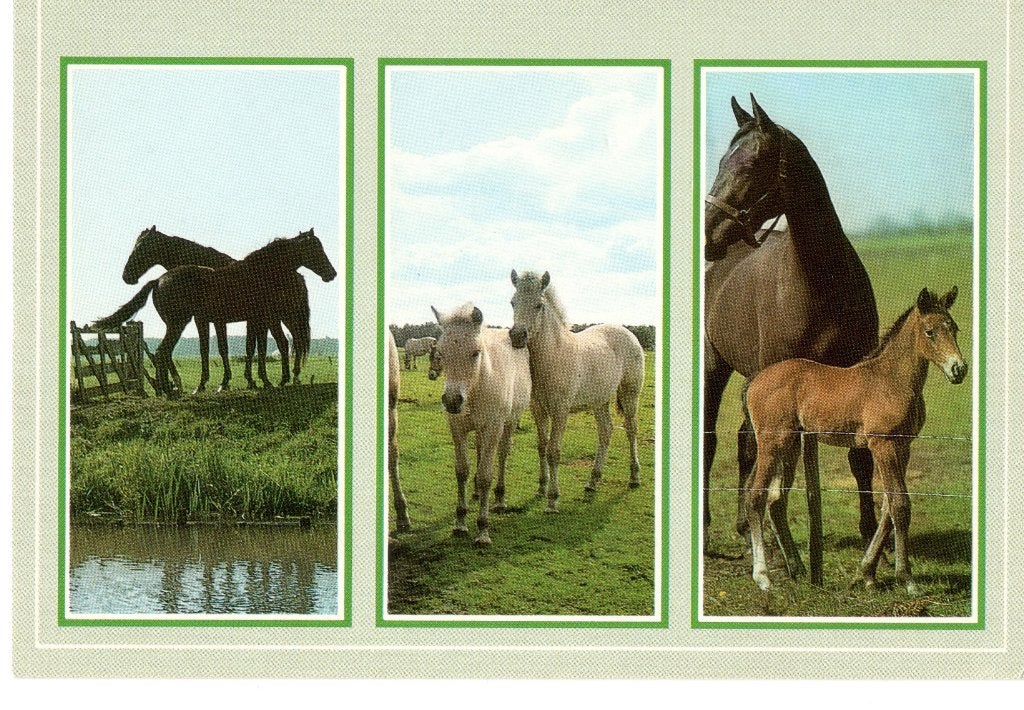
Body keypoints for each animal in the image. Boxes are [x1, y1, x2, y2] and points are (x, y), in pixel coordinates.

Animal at [92, 229, 336, 397]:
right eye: (316, 248)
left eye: (142, 246)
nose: (332, 274)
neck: (260, 272)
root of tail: (158, 280)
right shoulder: (244, 319)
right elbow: (229, 349)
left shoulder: (246, 319)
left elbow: (246, 348)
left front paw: (250, 381)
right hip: (179, 324)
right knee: (162, 352)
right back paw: (169, 390)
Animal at [431, 303, 532, 545]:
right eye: (440, 353)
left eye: (476, 353)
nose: (452, 401)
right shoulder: (457, 428)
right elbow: (462, 470)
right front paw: (460, 523)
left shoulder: (493, 428)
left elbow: (487, 474)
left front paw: (483, 531)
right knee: (478, 451)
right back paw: (476, 492)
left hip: (508, 423)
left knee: (502, 455)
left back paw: (499, 500)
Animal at [509, 270, 645, 512]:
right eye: (512, 302)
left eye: (539, 305)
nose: (517, 336)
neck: (555, 354)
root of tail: (628, 333)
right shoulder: (538, 409)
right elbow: (542, 446)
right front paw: (541, 488)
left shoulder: (560, 410)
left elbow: (554, 451)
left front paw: (552, 499)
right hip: (600, 401)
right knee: (606, 431)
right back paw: (592, 481)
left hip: (630, 394)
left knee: (631, 429)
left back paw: (634, 477)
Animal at [703, 95, 880, 551]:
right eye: (721, 162)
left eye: (750, 164)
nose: (708, 233)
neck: (821, 282)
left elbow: (859, 457)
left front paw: (871, 532)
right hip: (716, 368)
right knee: (714, 442)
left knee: (746, 444)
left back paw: (745, 524)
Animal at [744, 287, 967, 594]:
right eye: (930, 331)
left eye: (954, 328)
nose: (959, 370)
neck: (891, 380)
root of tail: (754, 381)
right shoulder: (882, 445)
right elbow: (900, 505)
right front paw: (906, 579)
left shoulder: (903, 446)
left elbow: (887, 507)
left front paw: (867, 574)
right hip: (771, 444)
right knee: (755, 497)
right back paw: (763, 577)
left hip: (789, 446)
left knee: (776, 501)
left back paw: (798, 569)